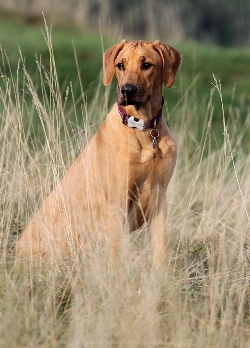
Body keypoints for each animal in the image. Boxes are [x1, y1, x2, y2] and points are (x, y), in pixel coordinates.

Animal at [16, 40, 182, 266]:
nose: (127, 90)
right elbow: (118, 257)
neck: (144, 131)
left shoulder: (158, 200)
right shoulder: (117, 203)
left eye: (147, 64)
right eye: (121, 65)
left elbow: (160, 254)